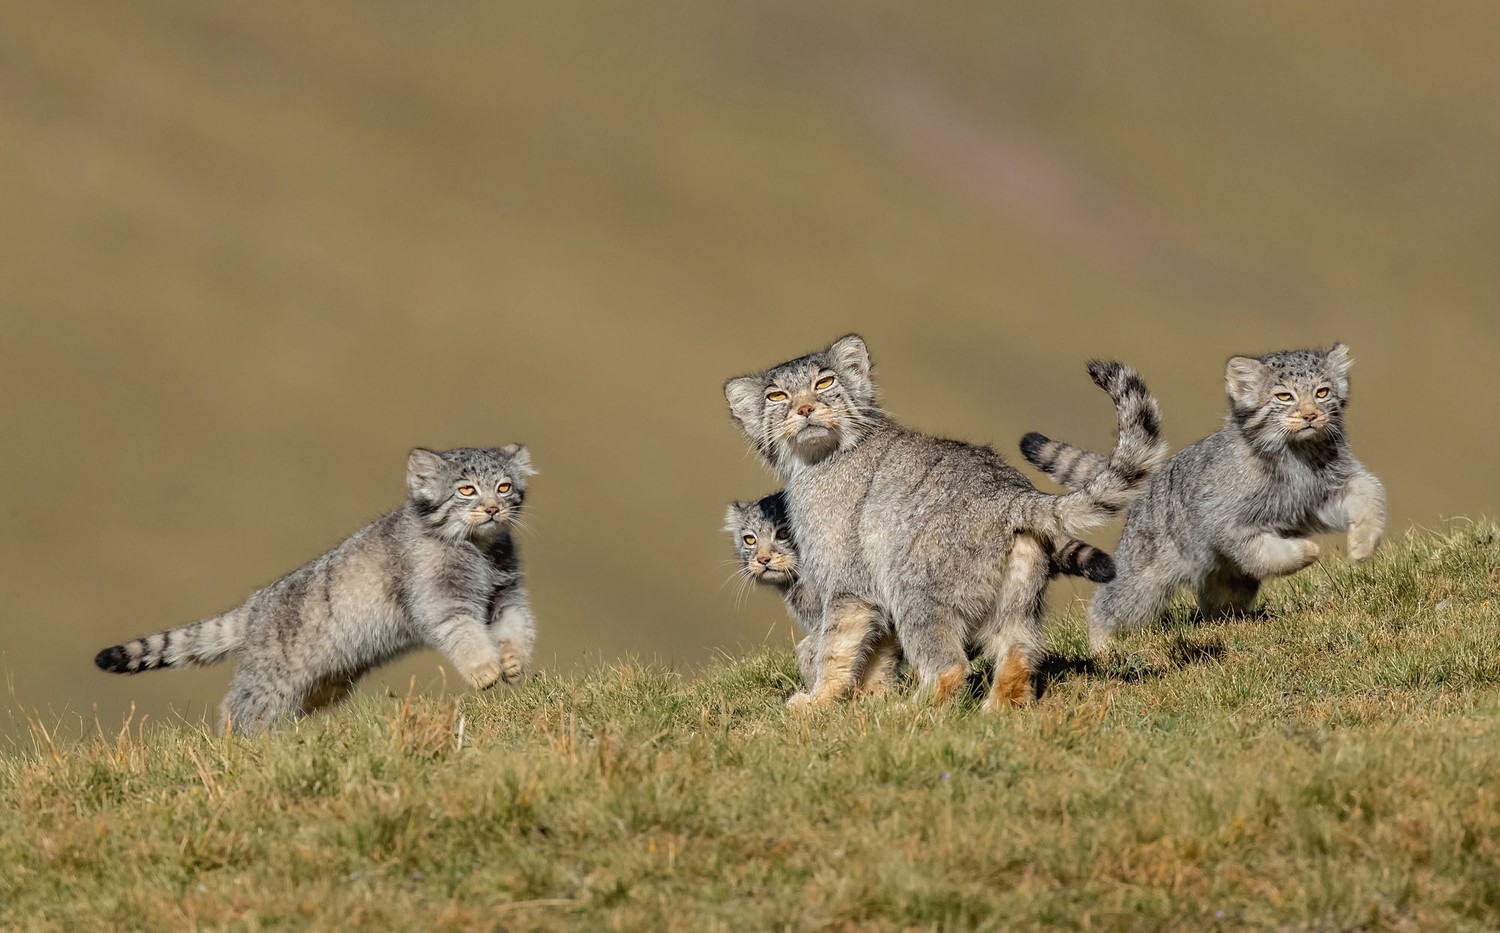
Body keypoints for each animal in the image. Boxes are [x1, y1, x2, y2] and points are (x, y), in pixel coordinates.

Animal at [93, 447, 540, 738]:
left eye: (504, 487)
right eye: (466, 490)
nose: (493, 509)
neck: (480, 550)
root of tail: (254, 605)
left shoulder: (505, 594)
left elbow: (517, 625)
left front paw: (513, 661)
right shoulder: (442, 600)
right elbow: (465, 634)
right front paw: (486, 669)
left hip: (321, 682)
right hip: (270, 679)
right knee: (237, 708)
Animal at [720, 336, 1164, 708]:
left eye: (825, 381)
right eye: (777, 395)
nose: (805, 409)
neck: (820, 460)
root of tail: (1011, 493)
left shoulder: (849, 585)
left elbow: (833, 651)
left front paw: (817, 704)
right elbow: (873, 654)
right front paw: (864, 700)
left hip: (916, 591)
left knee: (951, 666)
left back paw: (909, 714)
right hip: (1014, 602)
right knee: (1018, 654)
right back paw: (996, 713)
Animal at [1026, 343, 1386, 651]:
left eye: (1322, 392)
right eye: (1284, 396)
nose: (1310, 415)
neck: (1297, 457)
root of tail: (1151, 478)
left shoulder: (1327, 494)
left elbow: (1371, 493)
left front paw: (1362, 544)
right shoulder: (1231, 525)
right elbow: (1269, 553)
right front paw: (1307, 551)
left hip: (1226, 580)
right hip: (1143, 576)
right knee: (1110, 604)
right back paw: (1102, 645)